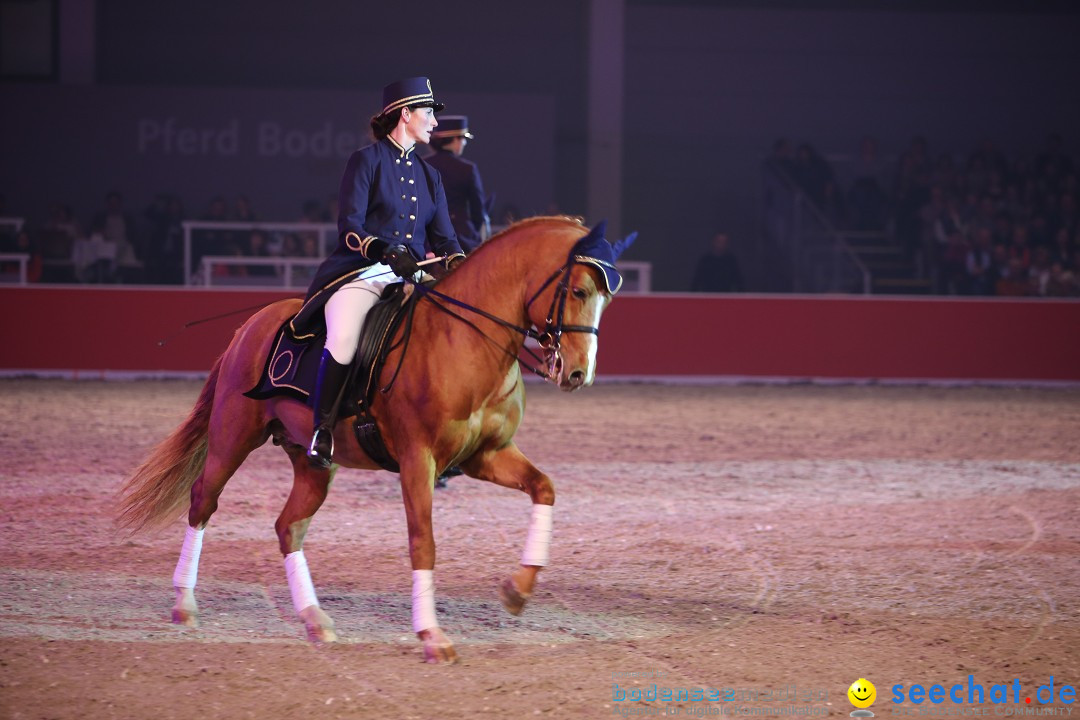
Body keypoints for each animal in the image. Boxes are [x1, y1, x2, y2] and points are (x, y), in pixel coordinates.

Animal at [116, 218, 626, 664]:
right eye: (578, 291)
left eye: (605, 300)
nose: (578, 373)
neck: (465, 341)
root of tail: (252, 325)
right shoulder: (418, 460)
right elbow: (423, 542)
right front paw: (433, 636)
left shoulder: (485, 455)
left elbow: (544, 489)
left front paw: (516, 591)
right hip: (233, 435)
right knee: (203, 500)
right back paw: (185, 604)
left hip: (313, 462)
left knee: (288, 527)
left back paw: (314, 619)